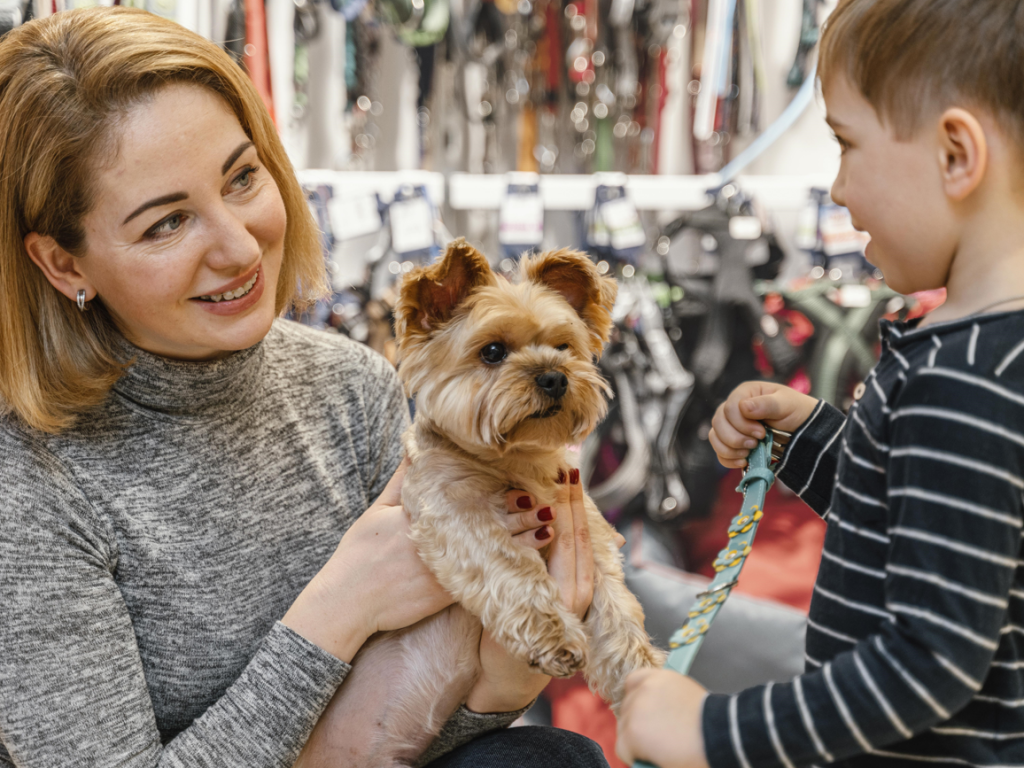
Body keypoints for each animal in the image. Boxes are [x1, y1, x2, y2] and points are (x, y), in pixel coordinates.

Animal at [294, 240, 663, 768]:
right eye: (492, 352)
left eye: (564, 346)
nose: (554, 377)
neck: (516, 461)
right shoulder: (454, 516)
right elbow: (514, 570)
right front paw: (554, 636)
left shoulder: (592, 540)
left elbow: (618, 612)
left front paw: (644, 680)